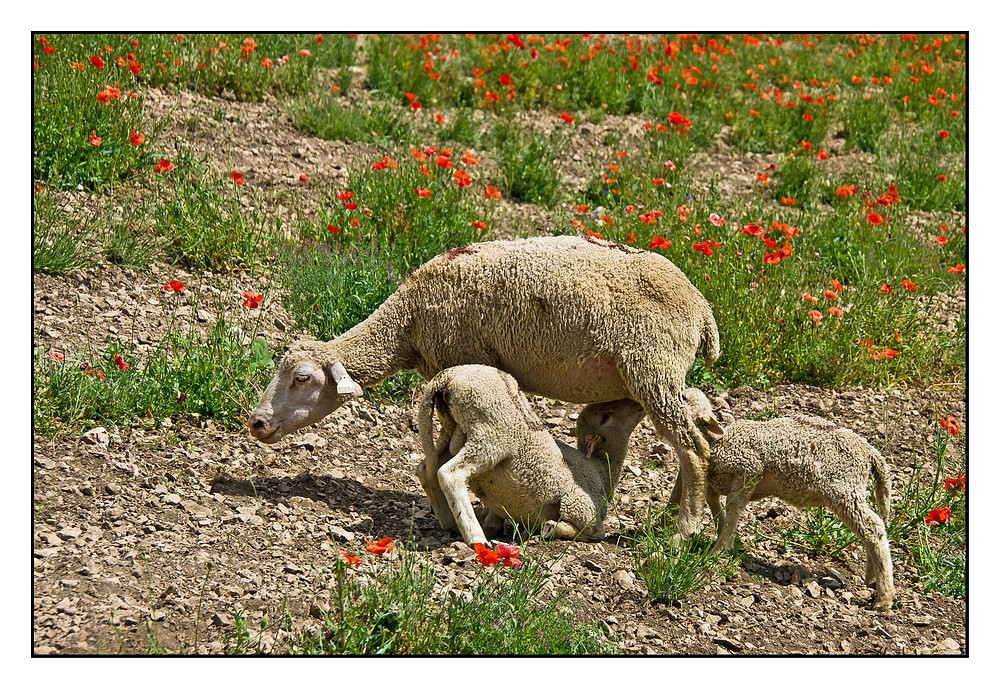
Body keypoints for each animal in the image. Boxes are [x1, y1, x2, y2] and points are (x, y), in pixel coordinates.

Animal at [416, 362, 644, 544]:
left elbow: (493, 520)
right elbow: (596, 533)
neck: (601, 470)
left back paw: (450, 522)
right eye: (606, 417)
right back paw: (476, 538)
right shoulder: (580, 505)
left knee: (426, 468)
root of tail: (447, 376)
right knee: (450, 474)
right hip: (490, 437)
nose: (637, 403)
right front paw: (551, 528)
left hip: (451, 426)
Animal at [684, 390, 896, 612]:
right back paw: (871, 577)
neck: (717, 440)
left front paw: (718, 550)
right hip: (851, 489)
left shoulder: (749, 467)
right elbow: (715, 503)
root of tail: (872, 453)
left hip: (844, 488)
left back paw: (884, 596)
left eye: (683, 397)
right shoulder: (719, 481)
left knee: (874, 529)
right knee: (869, 531)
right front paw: (724, 540)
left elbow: (734, 508)